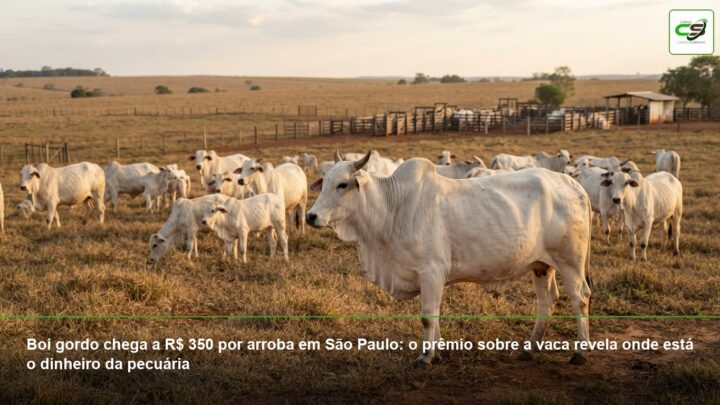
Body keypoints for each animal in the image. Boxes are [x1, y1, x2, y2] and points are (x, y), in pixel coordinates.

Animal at [306, 151, 592, 366]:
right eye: (325, 182)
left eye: (342, 184)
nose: (311, 216)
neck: (392, 208)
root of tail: (574, 184)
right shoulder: (429, 277)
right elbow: (434, 314)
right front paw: (438, 352)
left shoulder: (431, 271)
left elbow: (427, 316)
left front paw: (425, 357)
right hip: (541, 266)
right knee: (547, 301)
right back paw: (530, 349)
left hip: (571, 263)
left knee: (580, 299)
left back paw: (580, 352)